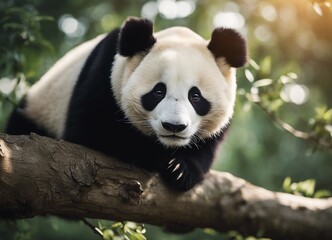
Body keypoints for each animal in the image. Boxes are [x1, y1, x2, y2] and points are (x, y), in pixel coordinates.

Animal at [5, 16, 246, 191]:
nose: (174, 127)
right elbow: (90, 132)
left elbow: (207, 145)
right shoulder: (104, 76)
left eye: (195, 96)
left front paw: (180, 169)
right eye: (158, 91)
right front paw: (155, 157)